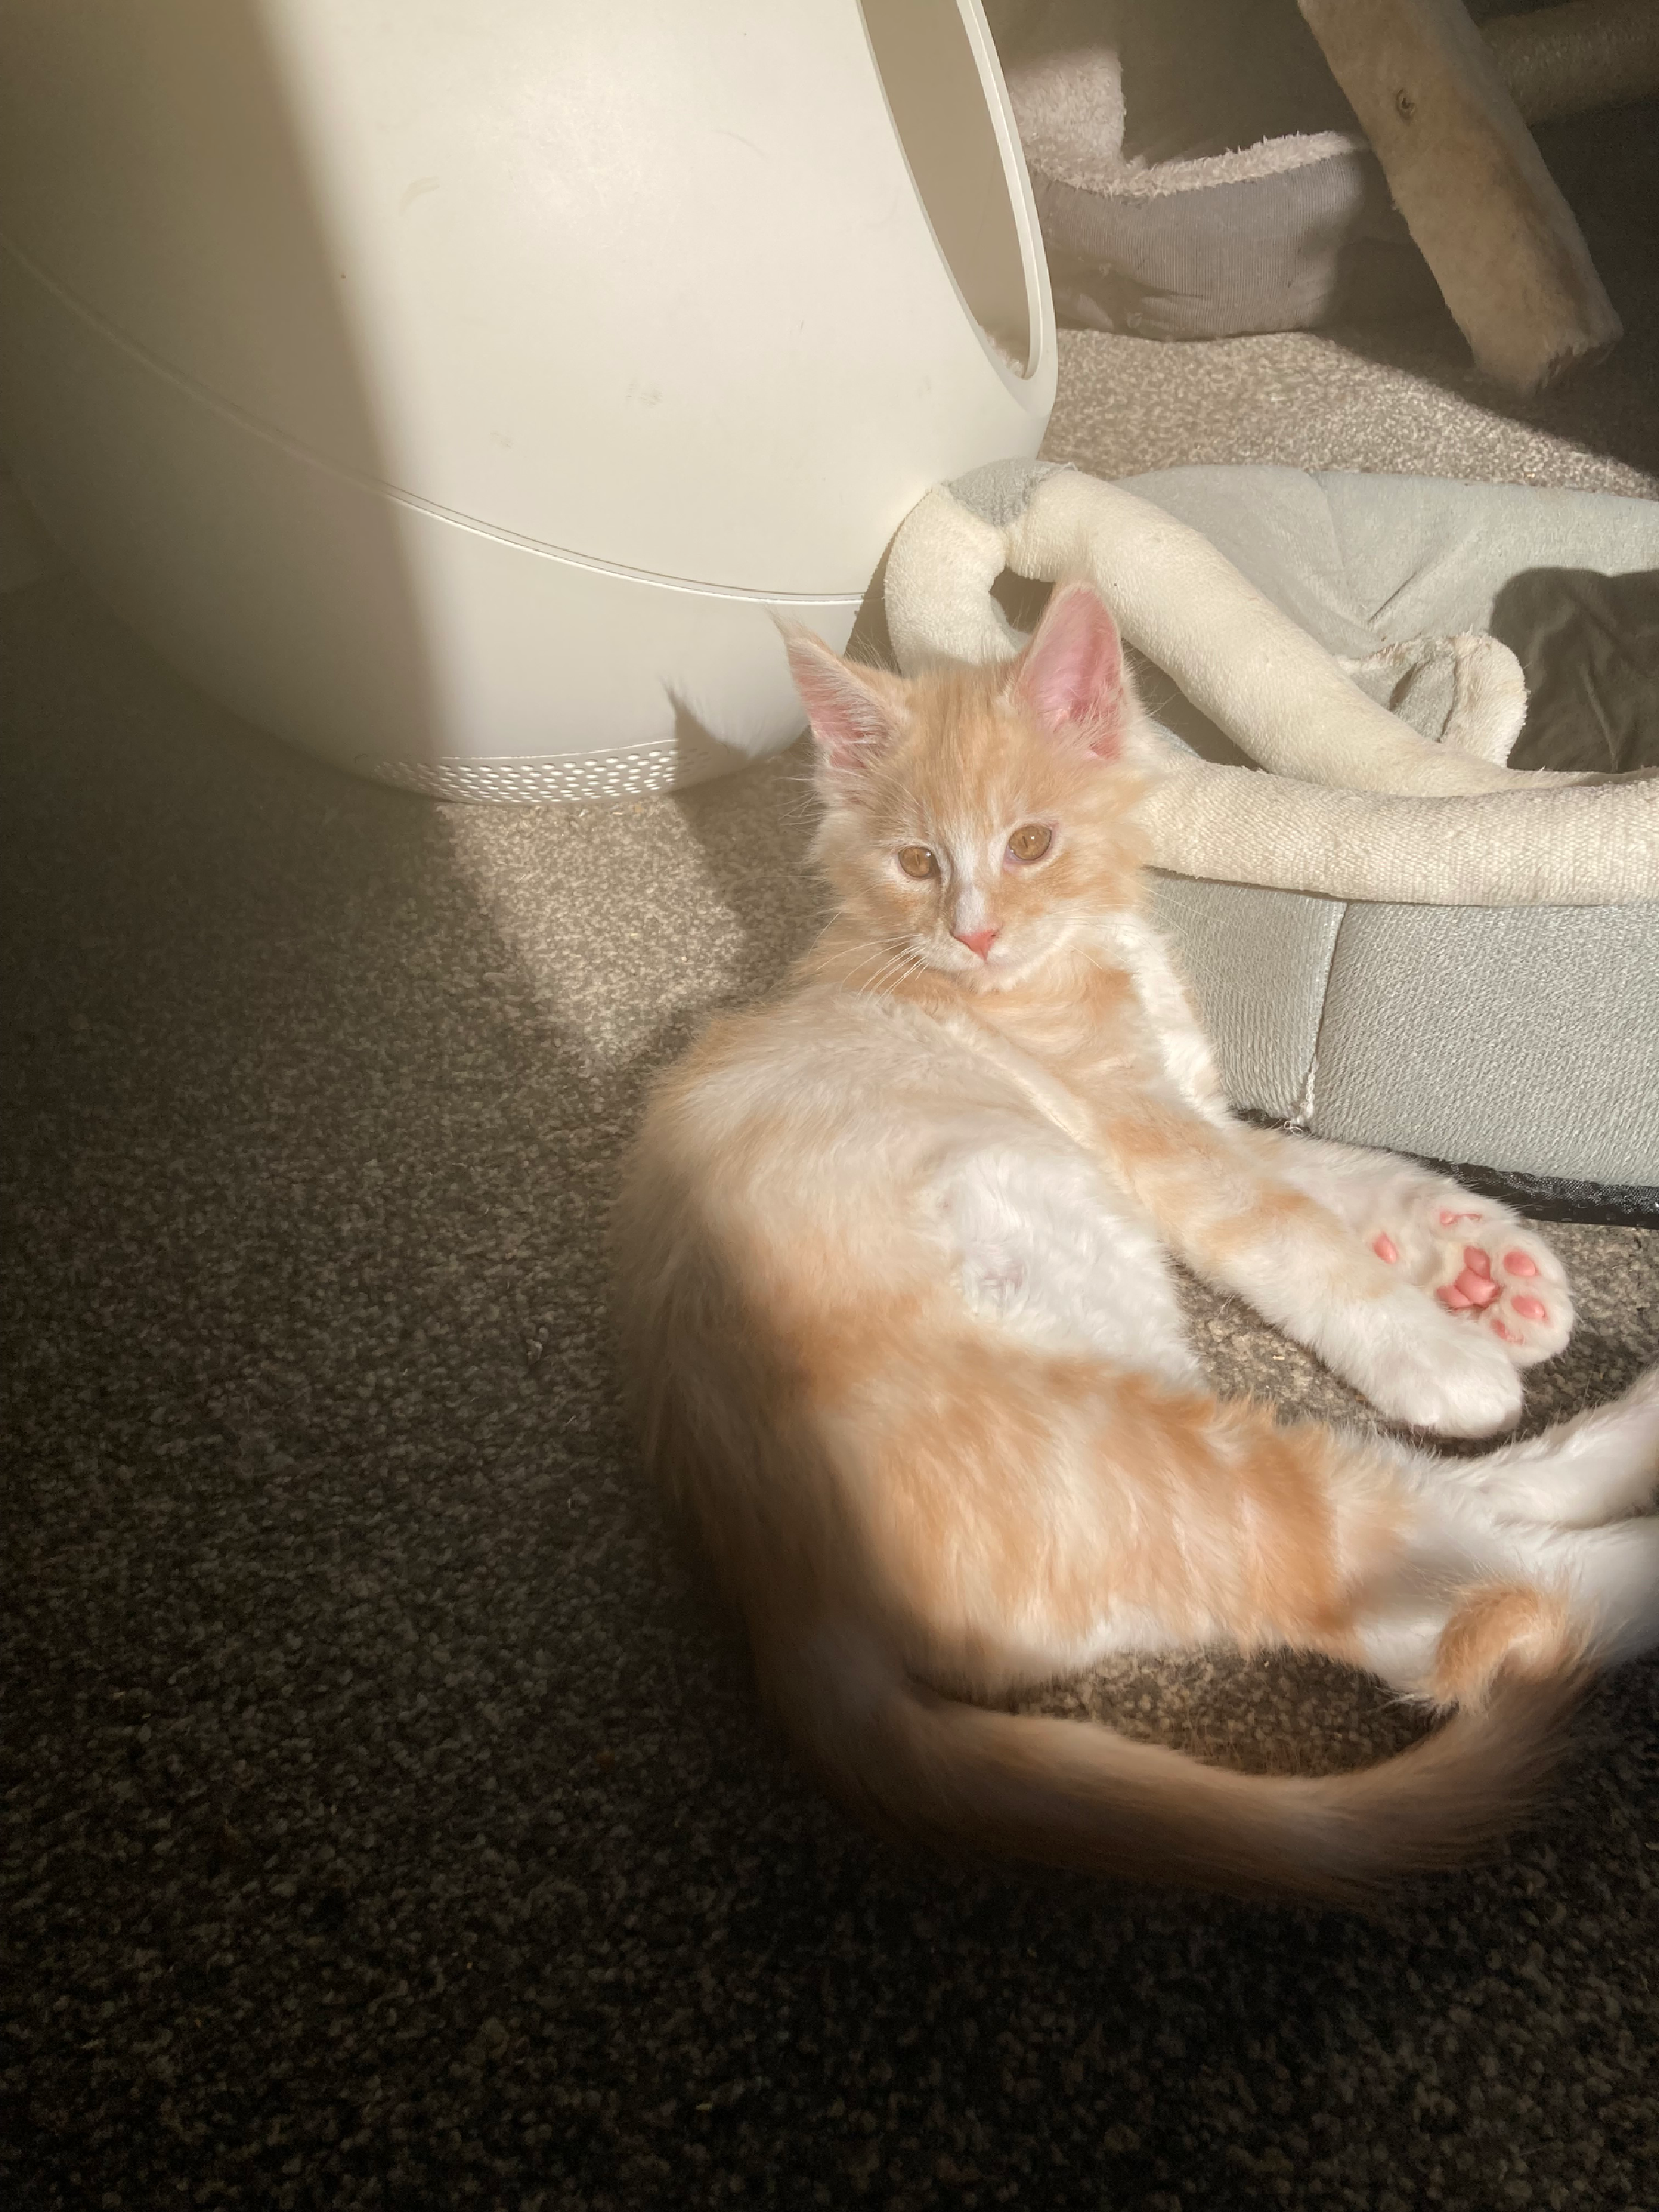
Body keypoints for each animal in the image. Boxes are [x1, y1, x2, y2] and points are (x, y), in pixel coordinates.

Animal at [613, 580, 1659, 1901]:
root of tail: (783, 1607)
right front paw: (1441, 1349)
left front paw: (1479, 1259)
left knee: (1430, 1594)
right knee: (1457, 1570)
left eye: (1028, 844)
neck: (1076, 951)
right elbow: (1285, 1222)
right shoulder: (1149, 1133)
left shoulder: (1194, 1108)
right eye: (917, 862)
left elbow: (1339, 1174)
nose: (975, 935)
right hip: (1135, 1450)